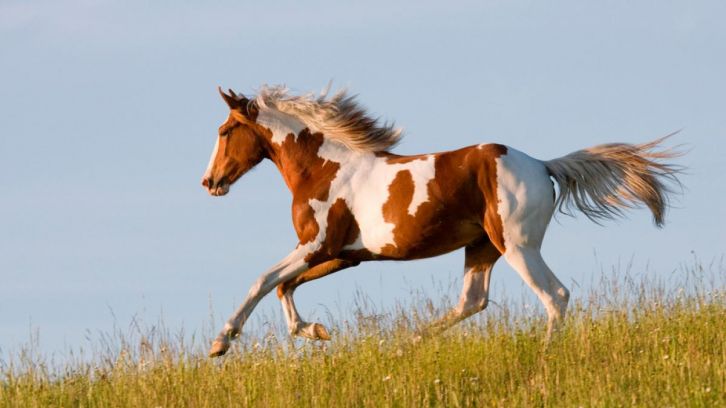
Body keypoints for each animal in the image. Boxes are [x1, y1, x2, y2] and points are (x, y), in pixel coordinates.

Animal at [201, 85, 682, 357]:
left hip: (517, 246)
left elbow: (263, 280)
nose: (209, 182)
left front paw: (221, 342)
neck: (326, 168)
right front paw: (316, 331)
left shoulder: (316, 245)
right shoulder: (344, 255)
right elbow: (285, 286)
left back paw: (546, 358)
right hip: (482, 247)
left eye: (225, 131)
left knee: (555, 295)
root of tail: (543, 166)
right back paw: (404, 346)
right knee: (472, 301)